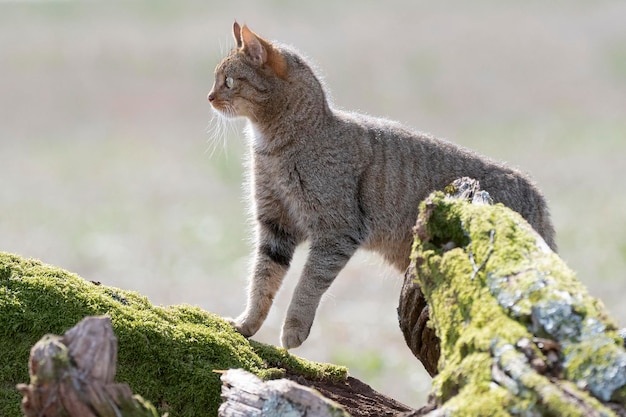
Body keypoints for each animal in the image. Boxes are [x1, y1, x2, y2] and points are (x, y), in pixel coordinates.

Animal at [207, 22, 552, 348]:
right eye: (217, 79)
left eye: (228, 81)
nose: (209, 97)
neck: (276, 147)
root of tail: (536, 193)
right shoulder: (275, 226)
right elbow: (261, 281)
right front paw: (247, 324)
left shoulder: (337, 232)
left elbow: (307, 284)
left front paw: (293, 329)